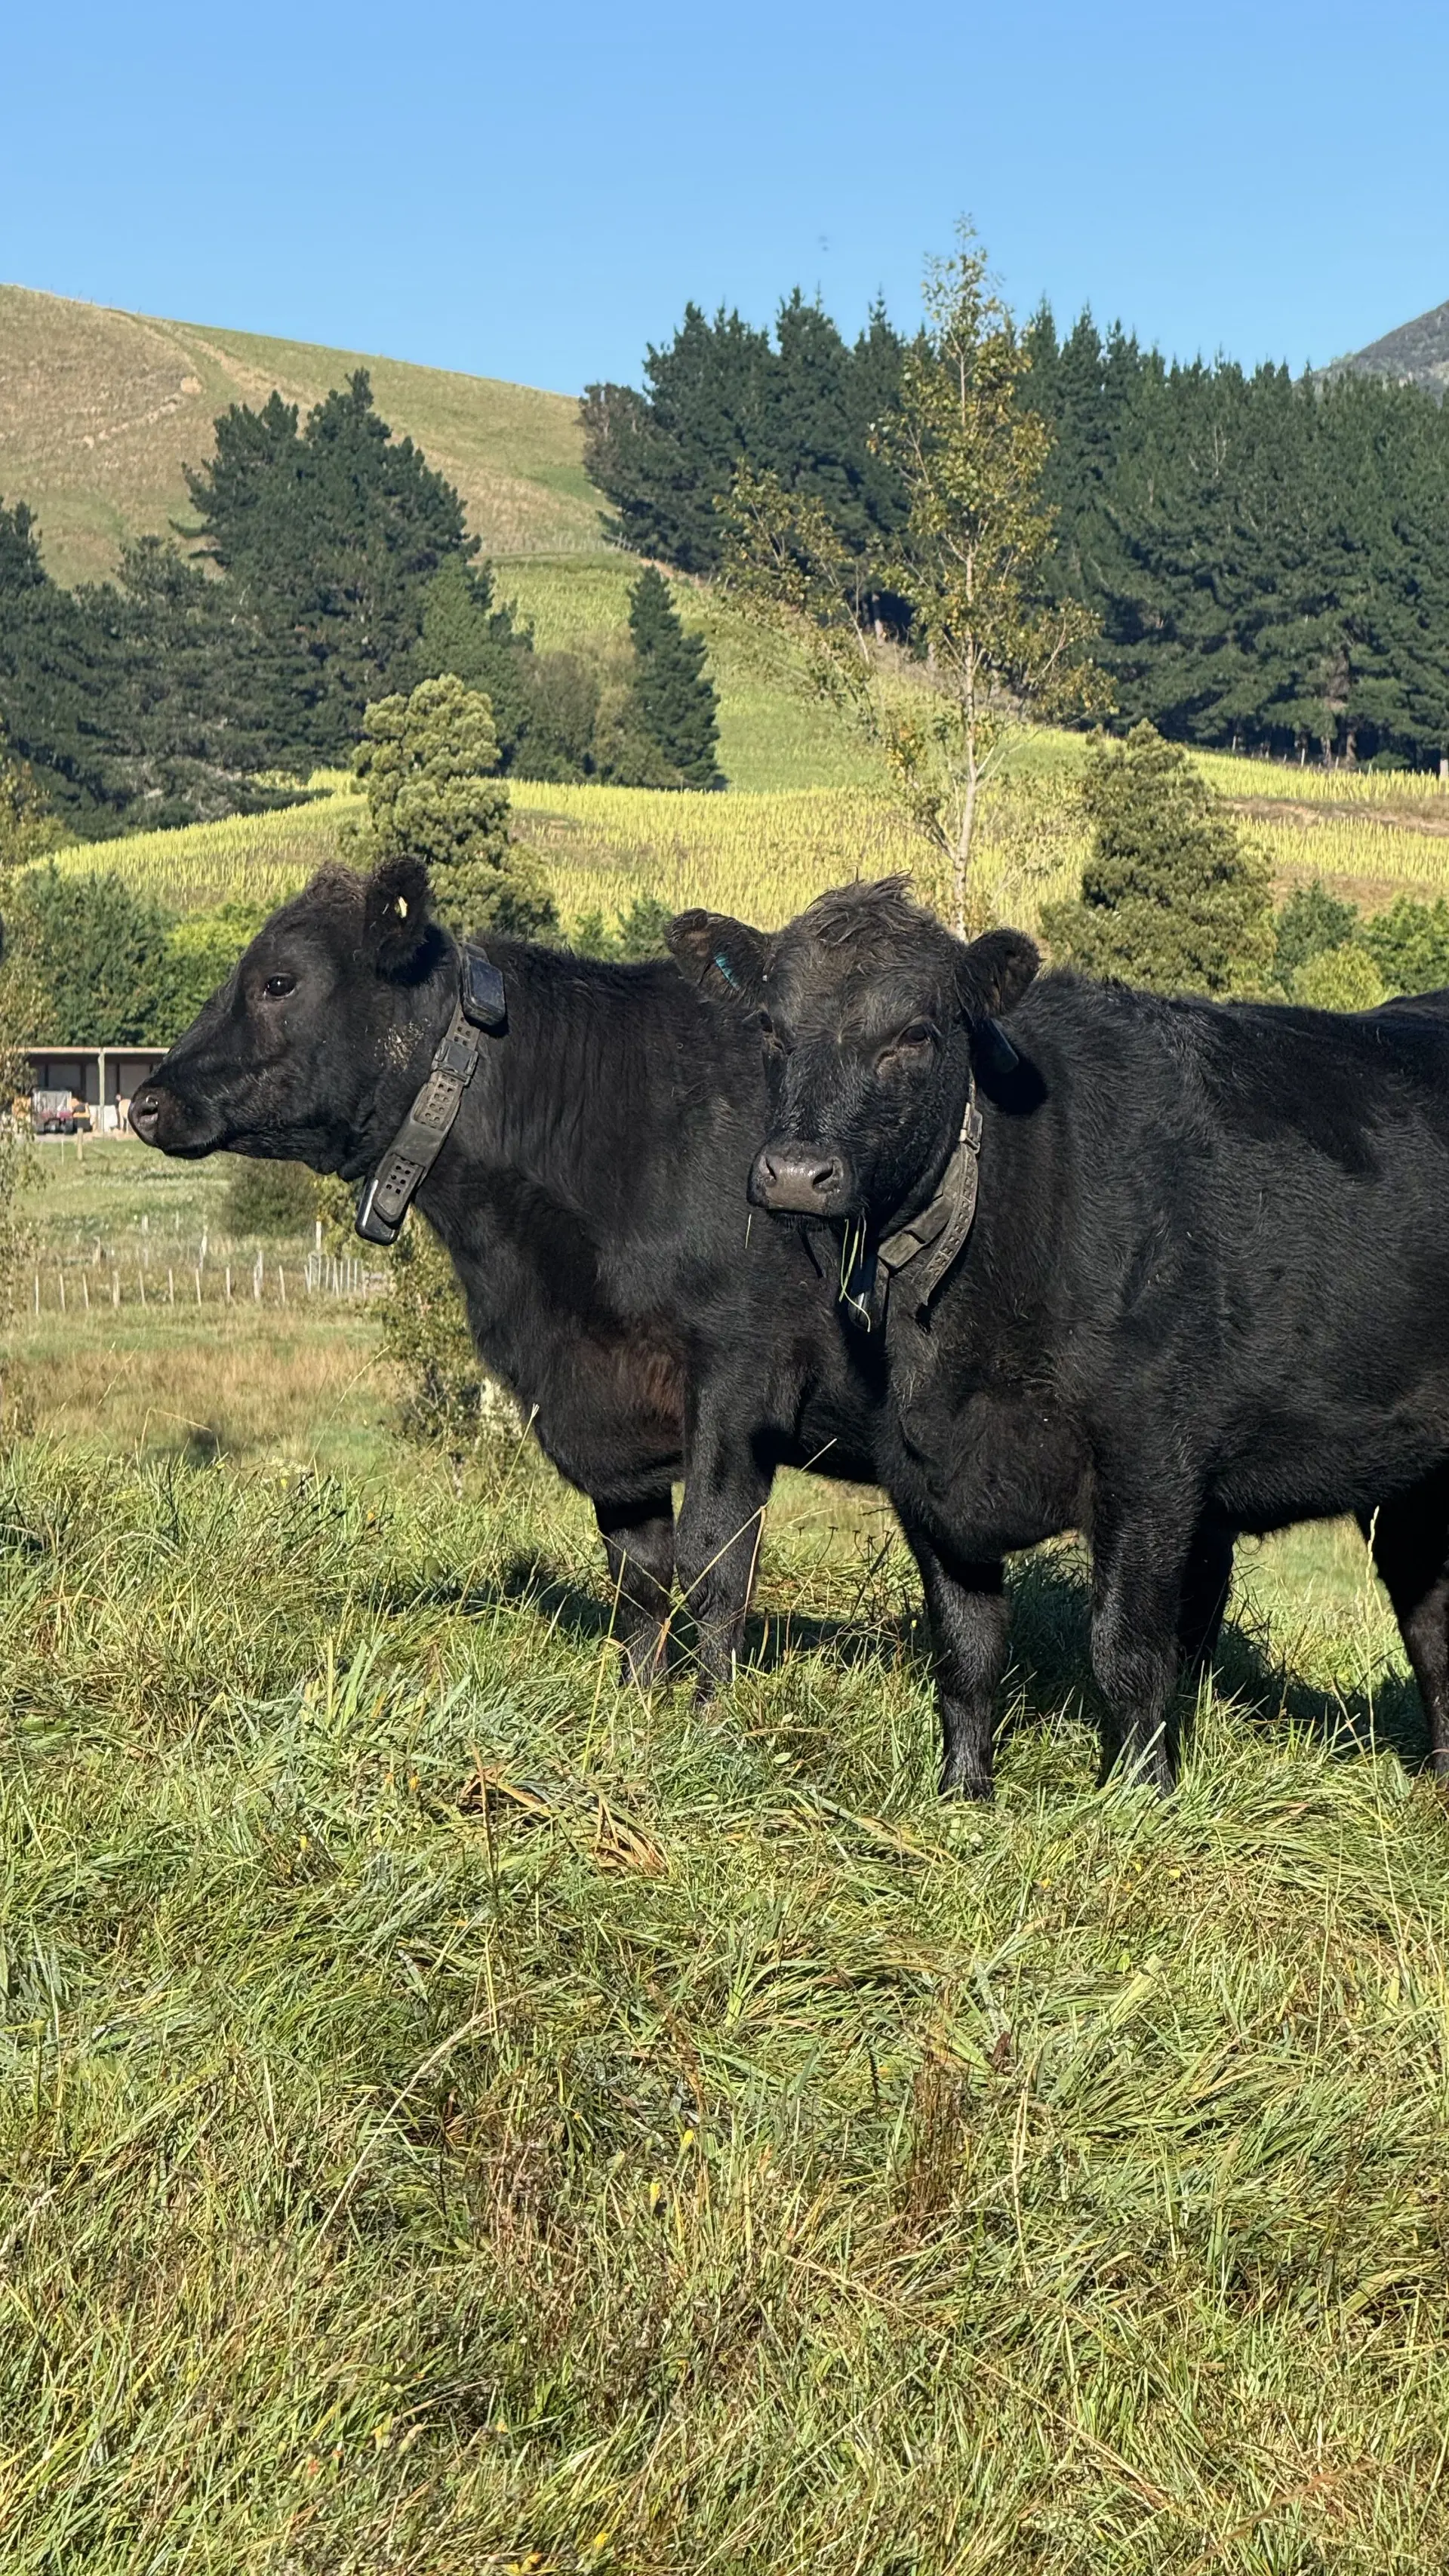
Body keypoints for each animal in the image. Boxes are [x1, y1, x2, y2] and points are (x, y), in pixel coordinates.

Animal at [129, 854, 997, 1722]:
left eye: (278, 981)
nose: (146, 1101)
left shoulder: (740, 1374)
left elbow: (714, 1561)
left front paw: (709, 1723)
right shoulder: (601, 1402)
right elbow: (639, 1572)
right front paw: (634, 1710)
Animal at [668, 876, 1449, 1796]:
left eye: (917, 1033)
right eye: (769, 1027)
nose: (795, 1173)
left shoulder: (1152, 1461)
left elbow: (1128, 1649)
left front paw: (1140, 1798)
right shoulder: (920, 1470)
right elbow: (966, 1648)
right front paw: (963, 1791)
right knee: (1436, 1629)